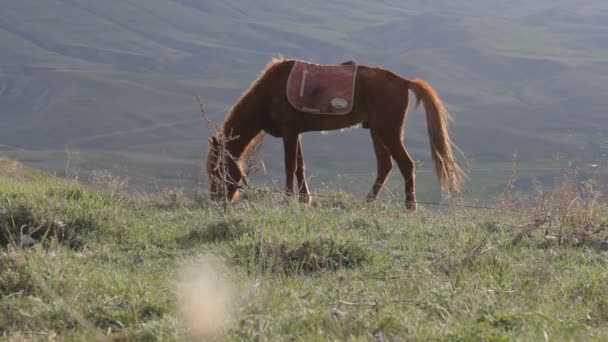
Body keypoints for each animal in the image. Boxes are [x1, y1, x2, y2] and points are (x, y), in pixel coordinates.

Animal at [205, 57, 466, 210]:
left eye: (218, 168)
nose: (217, 199)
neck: (268, 93)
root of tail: (402, 81)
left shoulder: (290, 132)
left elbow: (290, 166)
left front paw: (288, 199)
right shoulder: (296, 133)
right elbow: (300, 166)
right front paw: (304, 199)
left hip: (389, 132)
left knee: (406, 164)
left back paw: (410, 206)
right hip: (377, 132)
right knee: (385, 166)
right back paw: (369, 202)